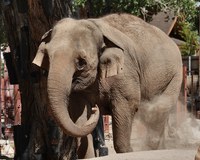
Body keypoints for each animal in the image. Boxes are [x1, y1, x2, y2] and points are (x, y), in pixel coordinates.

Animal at [32, 12, 183, 158]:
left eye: (81, 62)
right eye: (47, 57)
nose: (95, 109)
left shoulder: (125, 72)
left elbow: (127, 104)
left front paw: (128, 151)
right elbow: (78, 112)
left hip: (175, 75)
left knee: (160, 109)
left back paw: (151, 149)